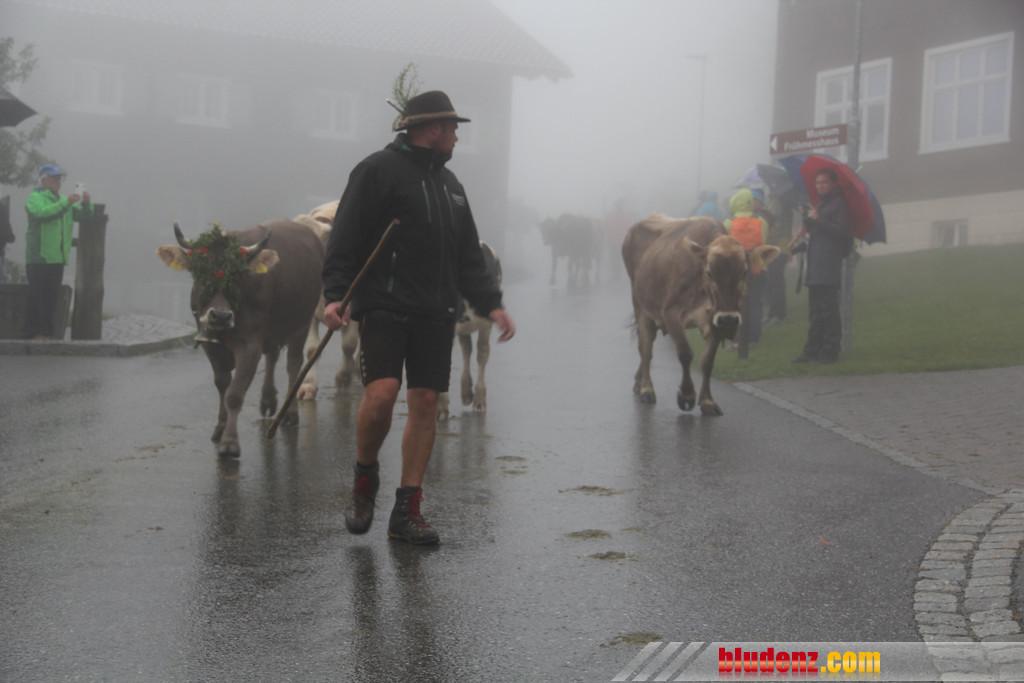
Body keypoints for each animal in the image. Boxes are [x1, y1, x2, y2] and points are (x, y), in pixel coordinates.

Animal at [156, 220, 324, 456]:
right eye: (200, 271)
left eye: (237, 275)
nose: (220, 315)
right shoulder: (211, 346)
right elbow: (222, 385)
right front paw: (220, 428)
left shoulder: (249, 345)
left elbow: (234, 394)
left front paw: (229, 443)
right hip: (273, 331)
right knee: (272, 357)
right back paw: (267, 401)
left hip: (303, 322)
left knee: (294, 363)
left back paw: (290, 413)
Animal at [437, 242, 502, 420]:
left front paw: (441, 407)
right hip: (464, 326)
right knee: (467, 350)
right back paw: (466, 393)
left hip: (486, 323)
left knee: (482, 353)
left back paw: (479, 400)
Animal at [622, 213, 779, 416]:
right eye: (710, 273)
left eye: (744, 272)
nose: (730, 319)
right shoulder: (670, 314)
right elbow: (685, 353)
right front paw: (687, 395)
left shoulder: (716, 319)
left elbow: (707, 361)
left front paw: (707, 400)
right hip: (640, 306)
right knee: (646, 348)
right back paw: (646, 389)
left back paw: (638, 382)